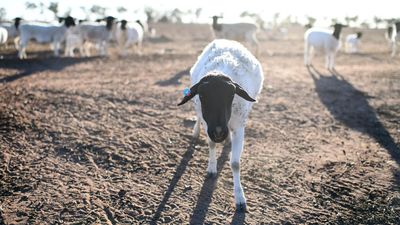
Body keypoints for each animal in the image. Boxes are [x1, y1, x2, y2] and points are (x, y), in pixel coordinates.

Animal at [177, 39, 264, 211]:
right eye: (202, 95)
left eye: (231, 95)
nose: (218, 132)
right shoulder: (208, 124)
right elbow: (211, 144)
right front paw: (211, 168)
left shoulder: (239, 127)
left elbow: (235, 164)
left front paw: (240, 198)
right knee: (198, 118)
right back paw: (196, 132)